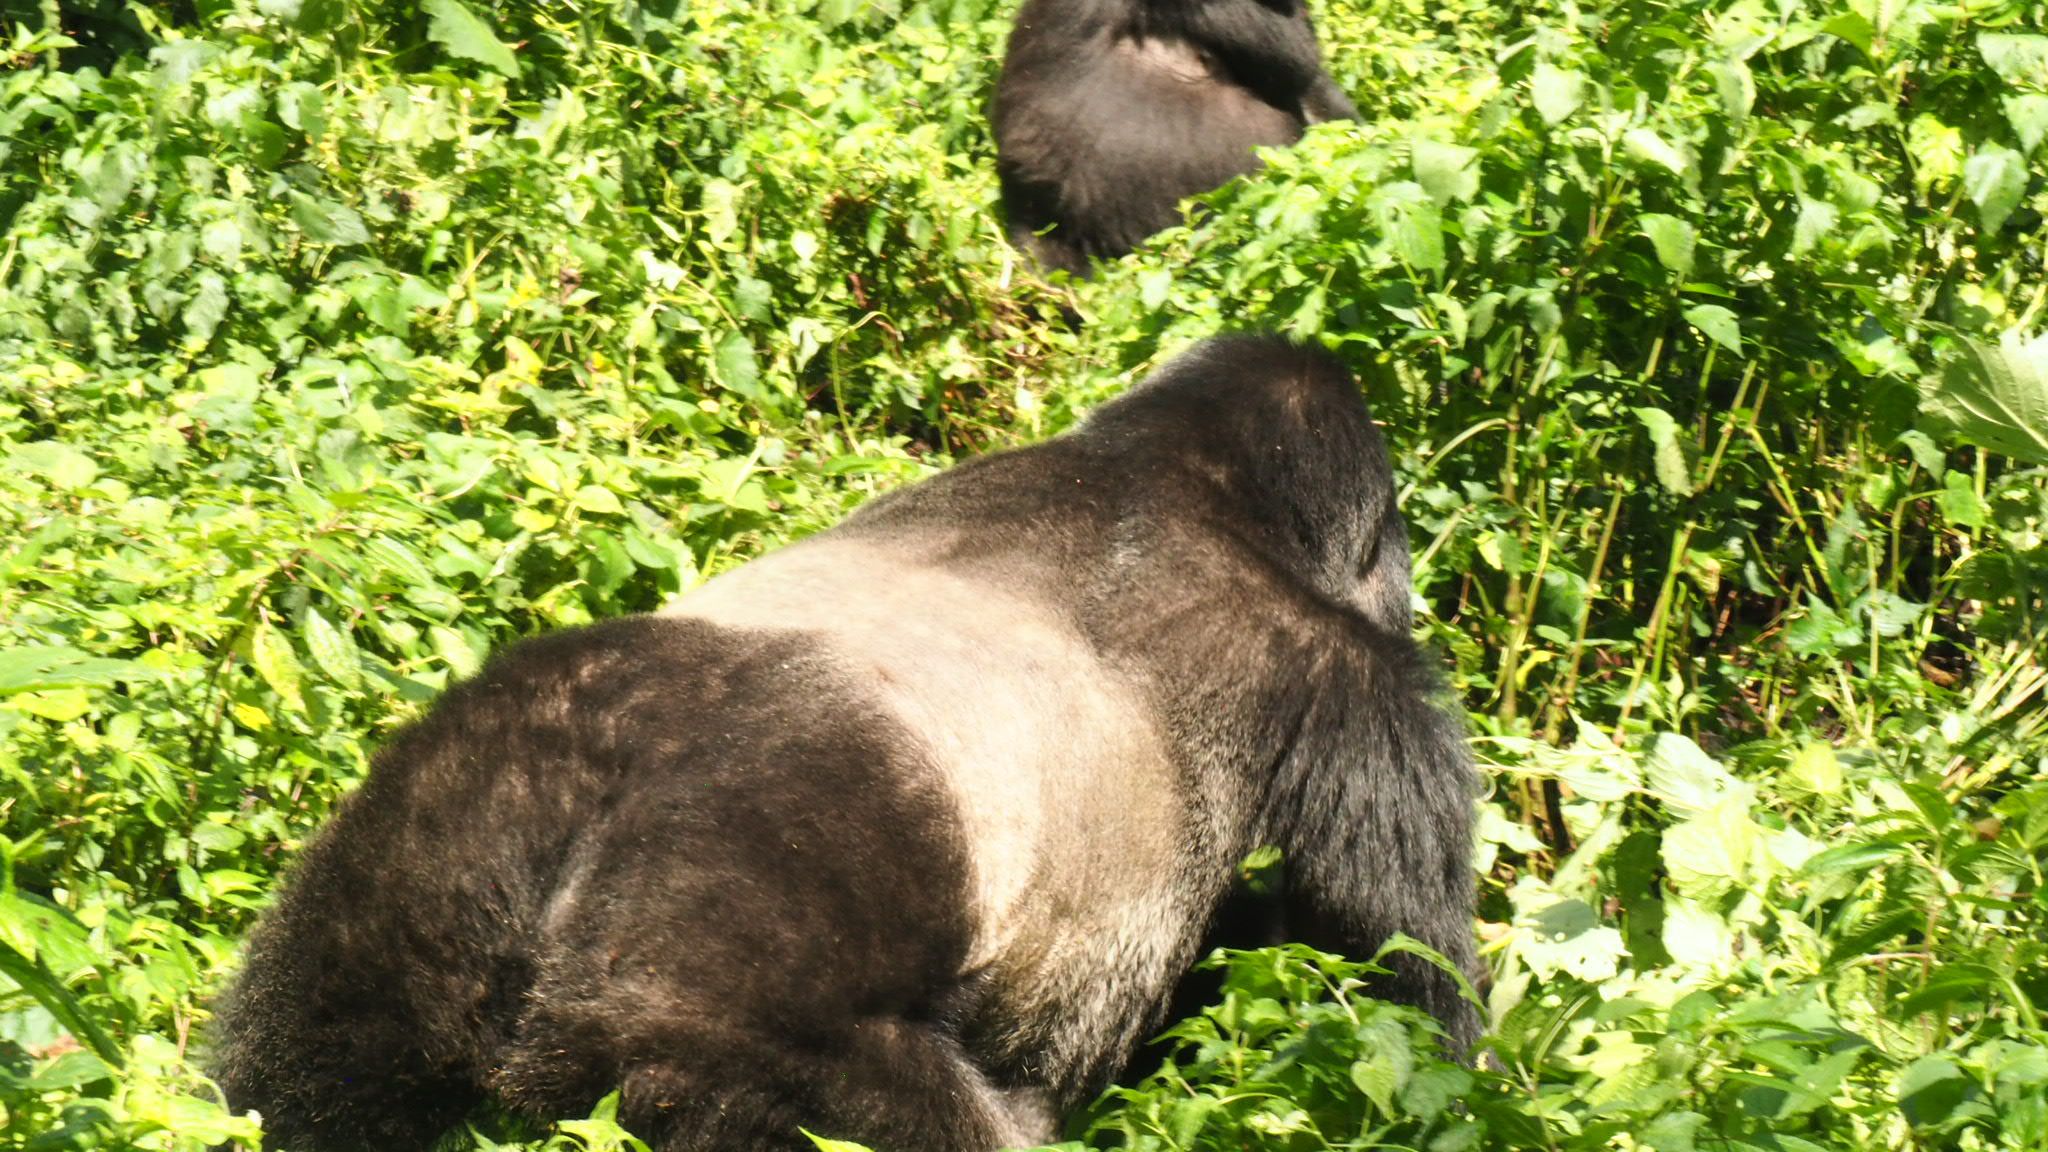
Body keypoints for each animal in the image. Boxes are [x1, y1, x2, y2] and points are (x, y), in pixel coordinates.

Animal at [209, 333, 1480, 1152]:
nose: (1406, 584)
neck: (1176, 466)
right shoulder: (1350, 687)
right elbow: (1398, 975)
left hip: (422, 834)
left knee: (303, 1068)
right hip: (727, 982)